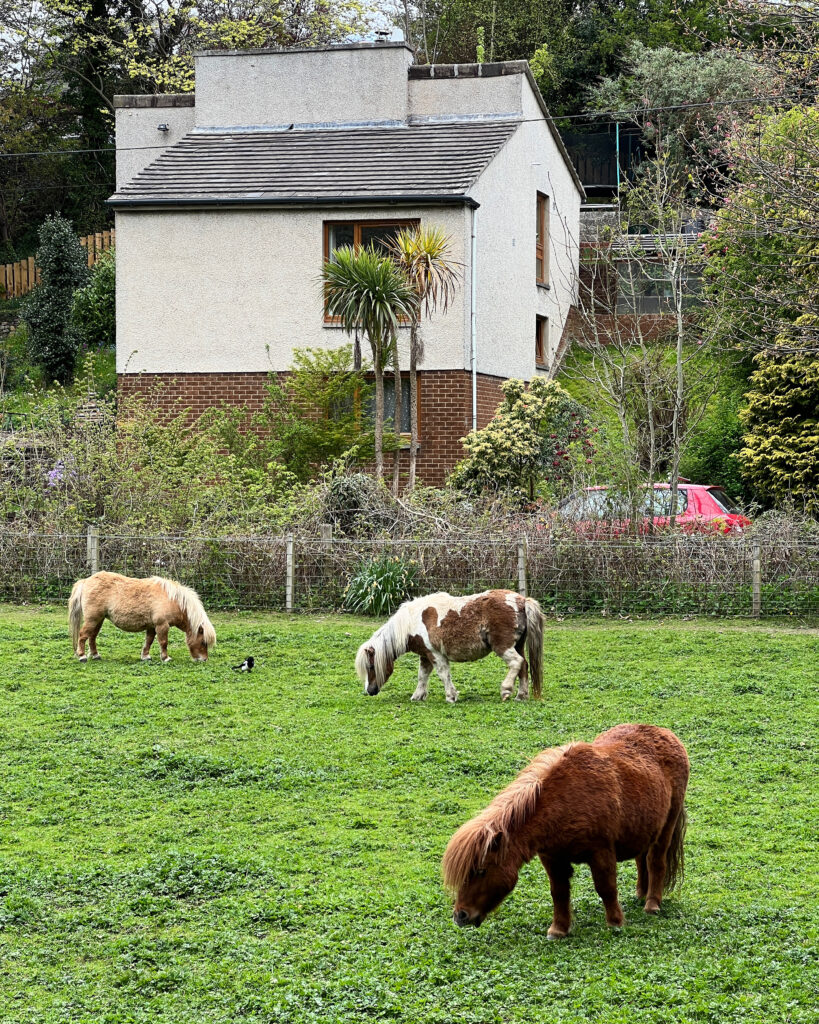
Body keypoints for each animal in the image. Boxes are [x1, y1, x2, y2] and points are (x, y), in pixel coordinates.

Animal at [68, 569, 213, 663]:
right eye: (203, 642)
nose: (204, 659)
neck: (172, 599)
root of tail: (86, 581)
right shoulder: (162, 625)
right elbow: (163, 642)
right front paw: (165, 658)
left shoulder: (152, 626)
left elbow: (149, 641)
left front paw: (145, 656)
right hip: (92, 619)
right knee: (83, 635)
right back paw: (82, 656)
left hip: (99, 619)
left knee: (92, 636)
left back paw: (95, 655)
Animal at [354, 593, 540, 704]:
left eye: (371, 666)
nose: (370, 691)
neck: (412, 622)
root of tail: (521, 600)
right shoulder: (425, 656)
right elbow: (422, 676)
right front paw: (417, 696)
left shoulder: (436, 655)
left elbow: (443, 674)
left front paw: (451, 696)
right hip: (518, 645)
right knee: (523, 666)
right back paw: (521, 696)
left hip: (503, 646)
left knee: (516, 662)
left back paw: (506, 690)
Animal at [444, 720, 687, 937]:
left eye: (481, 871)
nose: (460, 915)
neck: (563, 802)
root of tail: (666, 734)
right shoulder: (552, 858)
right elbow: (559, 892)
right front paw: (558, 929)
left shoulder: (601, 852)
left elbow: (606, 887)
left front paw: (615, 922)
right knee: (641, 859)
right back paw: (641, 894)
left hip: (667, 826)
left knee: (655, 861)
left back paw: (652, 904)